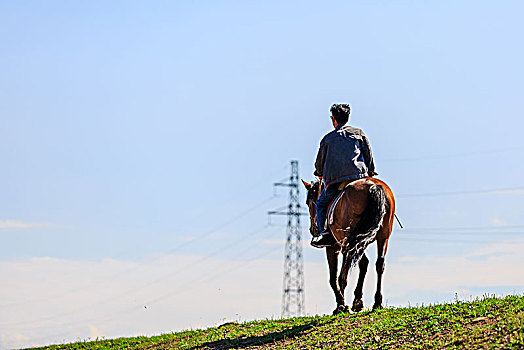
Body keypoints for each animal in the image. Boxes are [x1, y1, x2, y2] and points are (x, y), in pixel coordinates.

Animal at [300, 178, 396, 314]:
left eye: (308, 202)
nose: (312, 229)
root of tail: (373, 186)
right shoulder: (359, 241)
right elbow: (364, 263)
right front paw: (357, 300)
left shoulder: (333, 247)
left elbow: (333, 277)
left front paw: (341, 303)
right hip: (381, 236)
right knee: (379, 264)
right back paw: (377, 302)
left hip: (349, 241)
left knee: (343, 274)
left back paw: (342, 305)